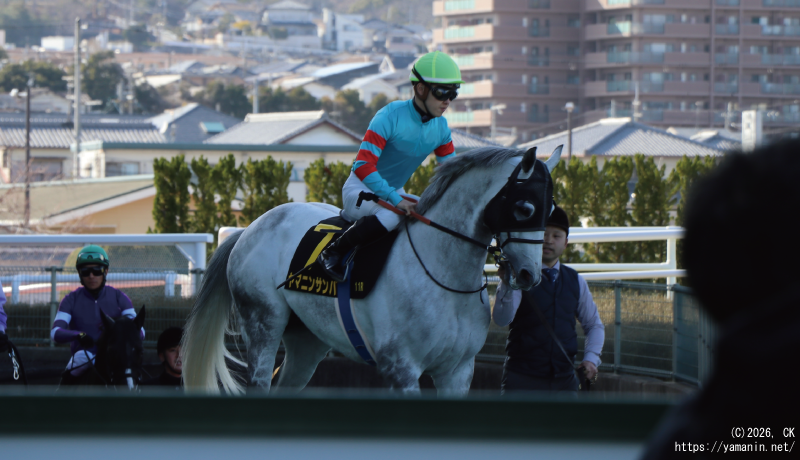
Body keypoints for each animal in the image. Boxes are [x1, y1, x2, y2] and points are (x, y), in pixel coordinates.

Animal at [183, 146, 561, 395]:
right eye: (525, 208)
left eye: (550, 210)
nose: (529, 275)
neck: (444, 275)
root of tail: (248, 229)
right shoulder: (402, 369)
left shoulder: (458, 371)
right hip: (263, 322)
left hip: (307, 340)